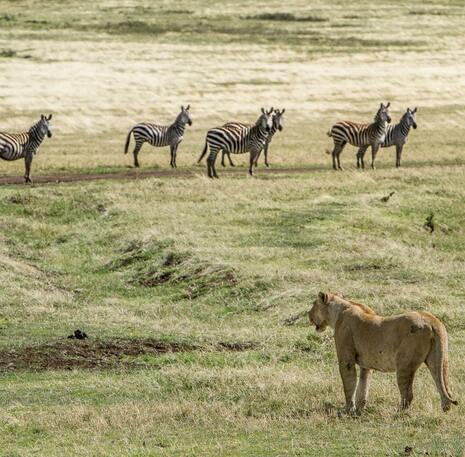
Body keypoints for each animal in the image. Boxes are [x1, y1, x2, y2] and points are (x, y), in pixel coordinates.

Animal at [308, 292, 456, 414]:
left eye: (314, 304)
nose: (308, 314)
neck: (340, 310)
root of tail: (432, 321)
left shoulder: (346, 360)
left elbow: (349, 384)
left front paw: (348, 409)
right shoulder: (365, 365)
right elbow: (363, 386)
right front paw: (360, 408)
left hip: (405, 364)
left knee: (408, 394)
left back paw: (398, 413)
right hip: (440, 359)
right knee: (444, 387)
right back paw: (445, 410)